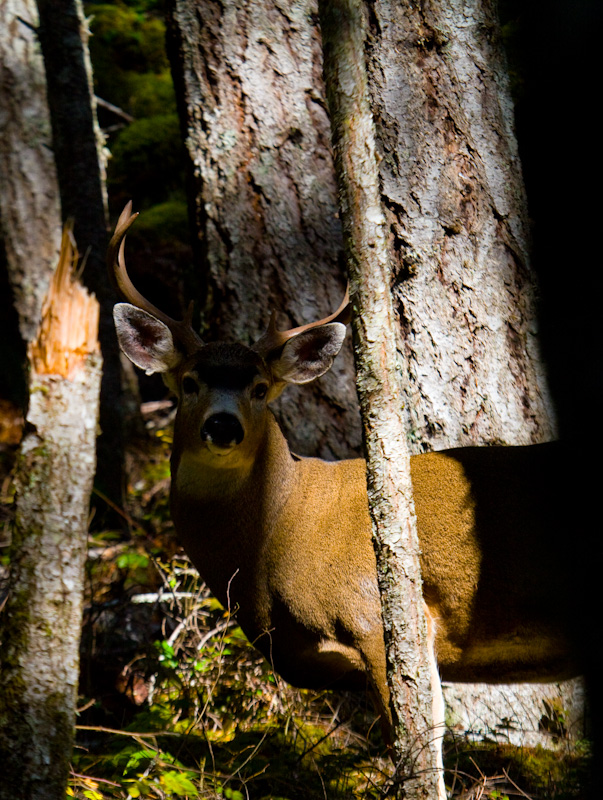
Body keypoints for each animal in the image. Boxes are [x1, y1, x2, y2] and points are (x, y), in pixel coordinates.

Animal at [108, 203, 580, 796]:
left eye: (260, 388)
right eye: (189, 382)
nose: (222, 426)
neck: (277, 534)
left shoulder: (380, 617)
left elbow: (422, 746)